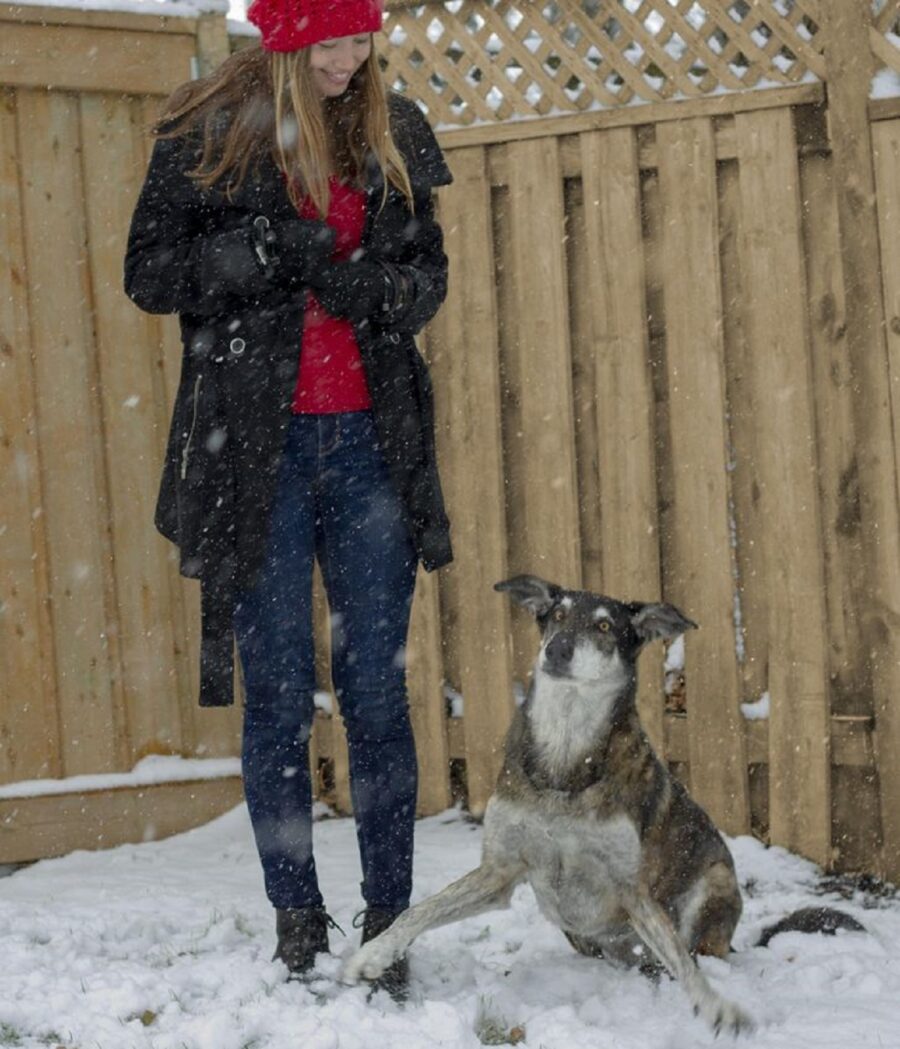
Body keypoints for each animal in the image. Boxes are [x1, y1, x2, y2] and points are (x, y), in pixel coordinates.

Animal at [344, 579, 751, 1036]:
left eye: (604, 626)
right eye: (557, 615)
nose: (557, 649)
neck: (565, 753)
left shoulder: (632, 887)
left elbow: (680, 958)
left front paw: (717, 1006)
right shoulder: (499, 870)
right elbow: (420, 910)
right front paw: (372, 955)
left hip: (715, 882)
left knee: (692, 951)